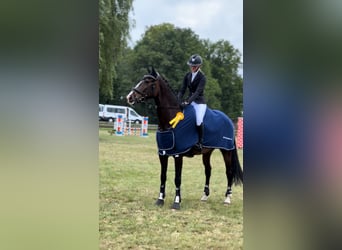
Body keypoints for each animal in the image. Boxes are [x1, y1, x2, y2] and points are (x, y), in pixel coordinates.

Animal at [126, 68, 243, 209]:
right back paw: (204, 196)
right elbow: (163, 176)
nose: (129, 97)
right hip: (207, 152)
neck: (170, 120)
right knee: (208, 170)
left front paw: (176, 202)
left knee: (229, 172)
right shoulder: (162, 154)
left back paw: (227, 198)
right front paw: (160, 200)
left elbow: (177, 178)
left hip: (226, 151)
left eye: (148, 82)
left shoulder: (178, 155)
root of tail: (229, 120)